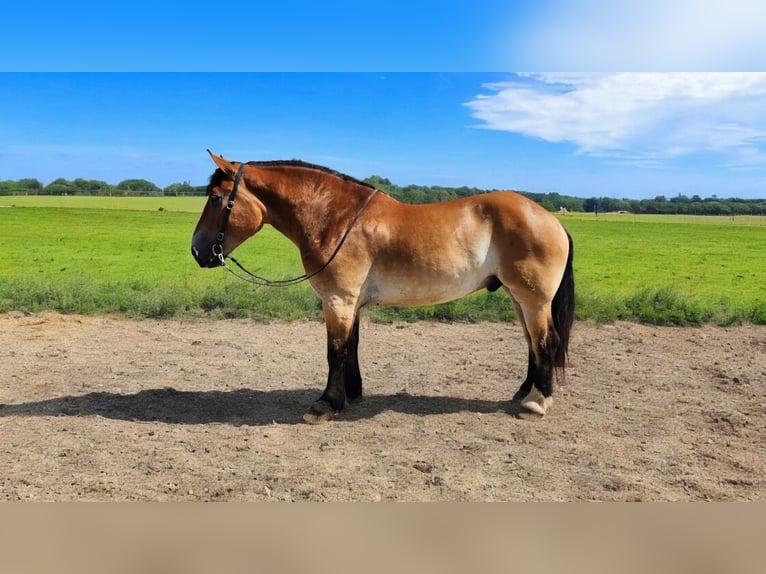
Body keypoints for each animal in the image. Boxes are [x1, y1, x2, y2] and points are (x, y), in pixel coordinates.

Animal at [192, 151, 576, 426]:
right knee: (532, 344)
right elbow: (351, 346)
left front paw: (325, 404)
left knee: (546, 341)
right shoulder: (351, 303)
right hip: (518, 298)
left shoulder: (338, 300)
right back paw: (524, 392)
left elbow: (335, 351)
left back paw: (536, 403)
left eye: (216, 198)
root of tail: (550, 219)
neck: (334, 217)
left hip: (533, 300)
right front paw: (350, 395)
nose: (197, 250)